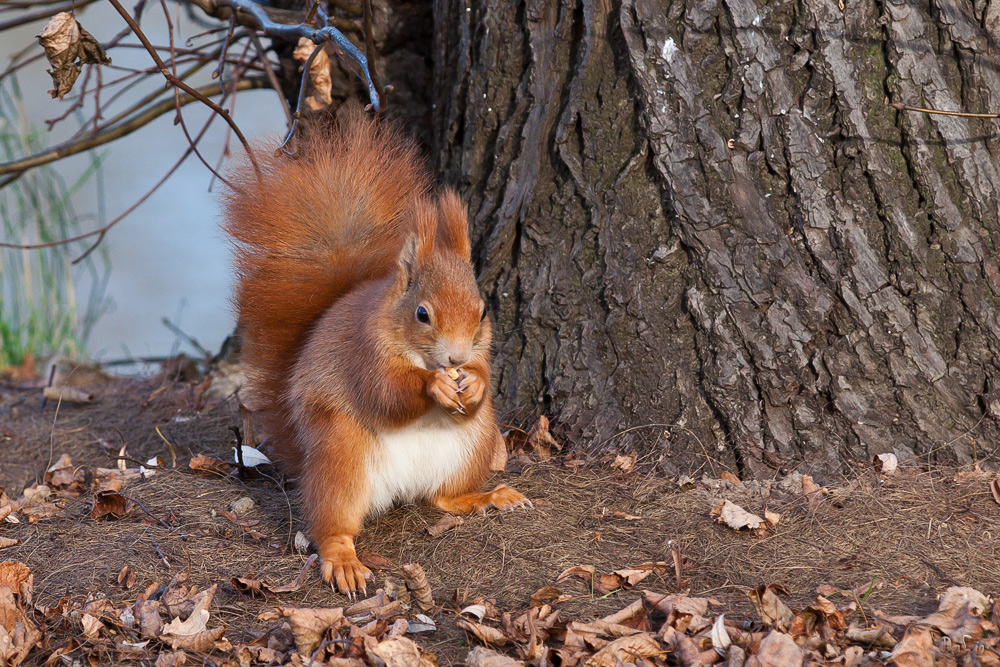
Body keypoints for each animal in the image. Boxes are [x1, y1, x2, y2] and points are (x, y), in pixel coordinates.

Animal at [221, 108, 532, 596]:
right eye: (422, 313)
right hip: (342, 454)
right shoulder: (363, 356)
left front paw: (475, 383)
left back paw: (489, 496)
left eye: (482, 311)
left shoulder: (482, 352)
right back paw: (343, 560)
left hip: (475, 443)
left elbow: (484, 377)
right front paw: (434, 385)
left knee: (443, 497)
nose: (456, 359)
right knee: (332, 524)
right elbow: (386, 394)